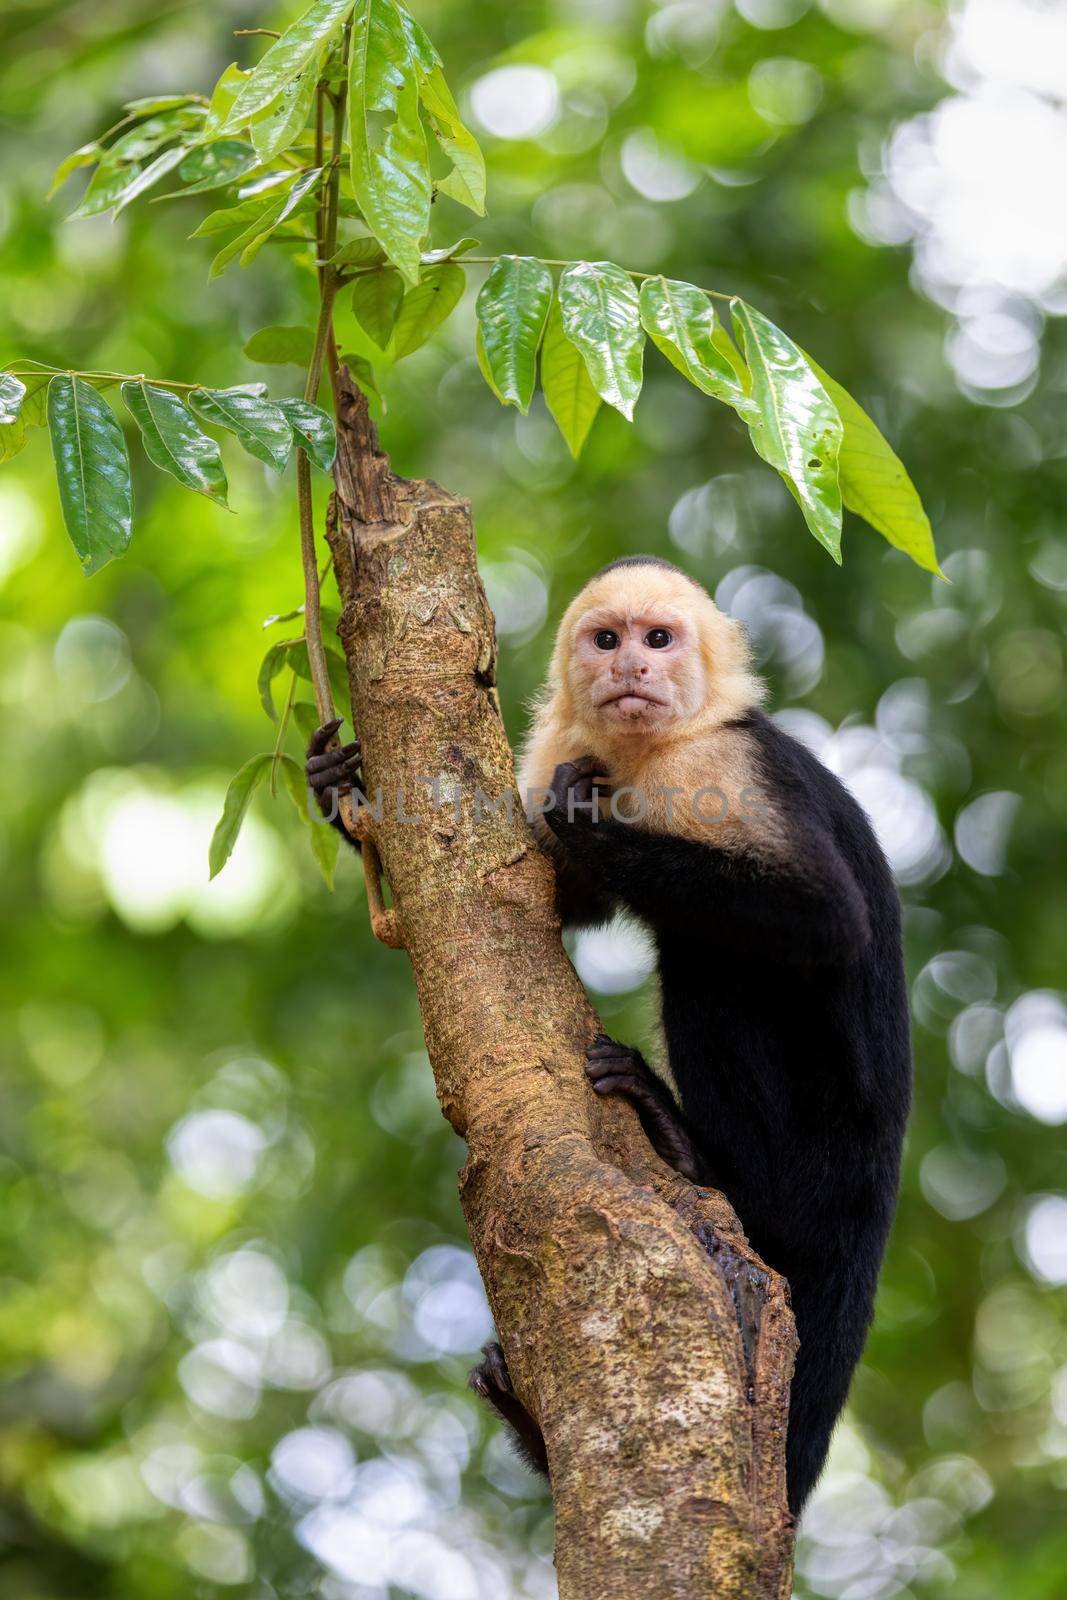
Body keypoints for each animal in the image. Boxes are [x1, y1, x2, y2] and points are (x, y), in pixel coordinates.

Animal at [303, 553, 915, 1510]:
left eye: (658, 638)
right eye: (606, 638)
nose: (630, 665)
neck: (647, 752)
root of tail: (879, 1161)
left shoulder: (724, 763)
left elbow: (826, 922)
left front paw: (587, 820)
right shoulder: (564, 746)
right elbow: (541, 892)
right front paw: (340, 789)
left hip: (828, 1127)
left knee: (715, 959)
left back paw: (694, 1152)